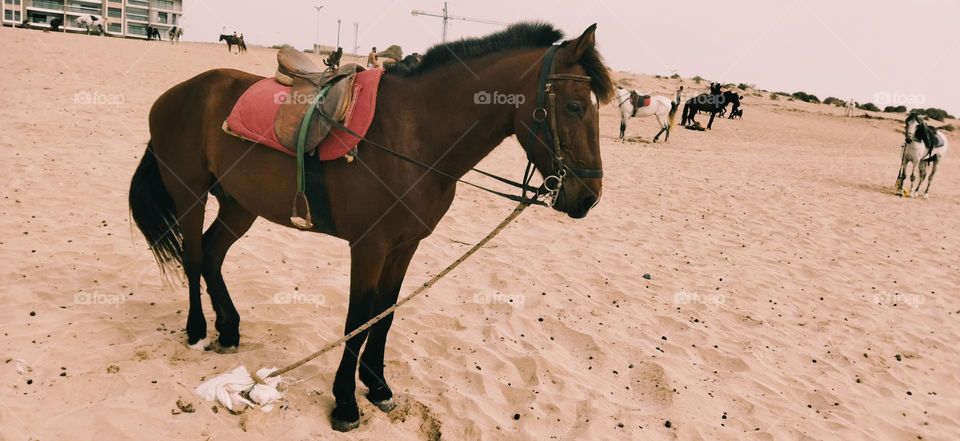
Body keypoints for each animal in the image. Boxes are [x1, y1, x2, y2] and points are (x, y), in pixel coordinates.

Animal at [127, 22, 616, 432]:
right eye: (575, 106)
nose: (588, 198)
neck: (413, 135)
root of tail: (179, 93)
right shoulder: (369, 246)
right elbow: (358, 319)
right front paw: (345, 402)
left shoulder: (404, 246)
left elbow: (386, 312)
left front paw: (377, 386)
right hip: (189, 194)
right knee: (194, 256)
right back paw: (197, 331)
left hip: (239, 205)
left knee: (212, 254)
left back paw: (229, 329)